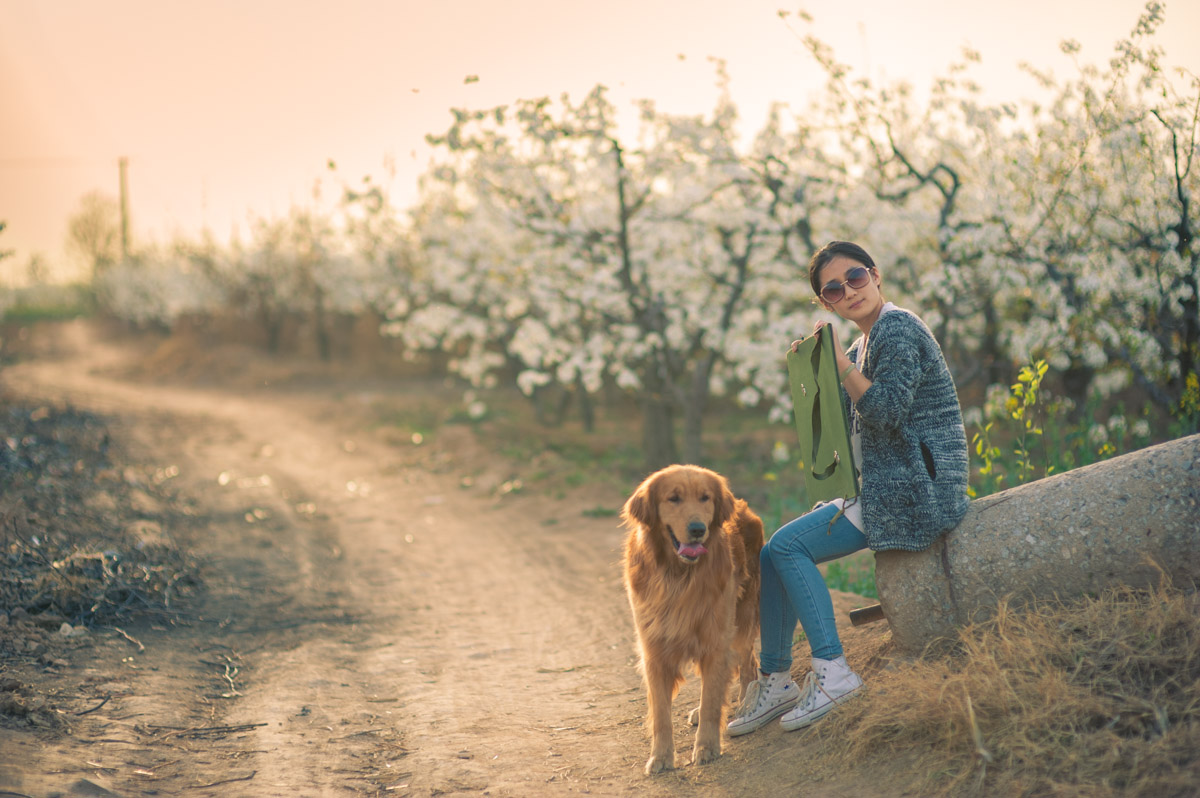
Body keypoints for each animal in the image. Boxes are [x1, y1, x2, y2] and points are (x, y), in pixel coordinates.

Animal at [624, 463, 763, 772]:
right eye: (673, 498)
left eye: (705, 498)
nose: (698, 529)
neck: (678, 576)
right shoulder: (654, 650)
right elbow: (661, 713)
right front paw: (661, 756)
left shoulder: (716, 640)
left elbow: (712, 698)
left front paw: (707, 747)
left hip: (741, 620)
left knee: (748, 663)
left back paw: (746, 702)